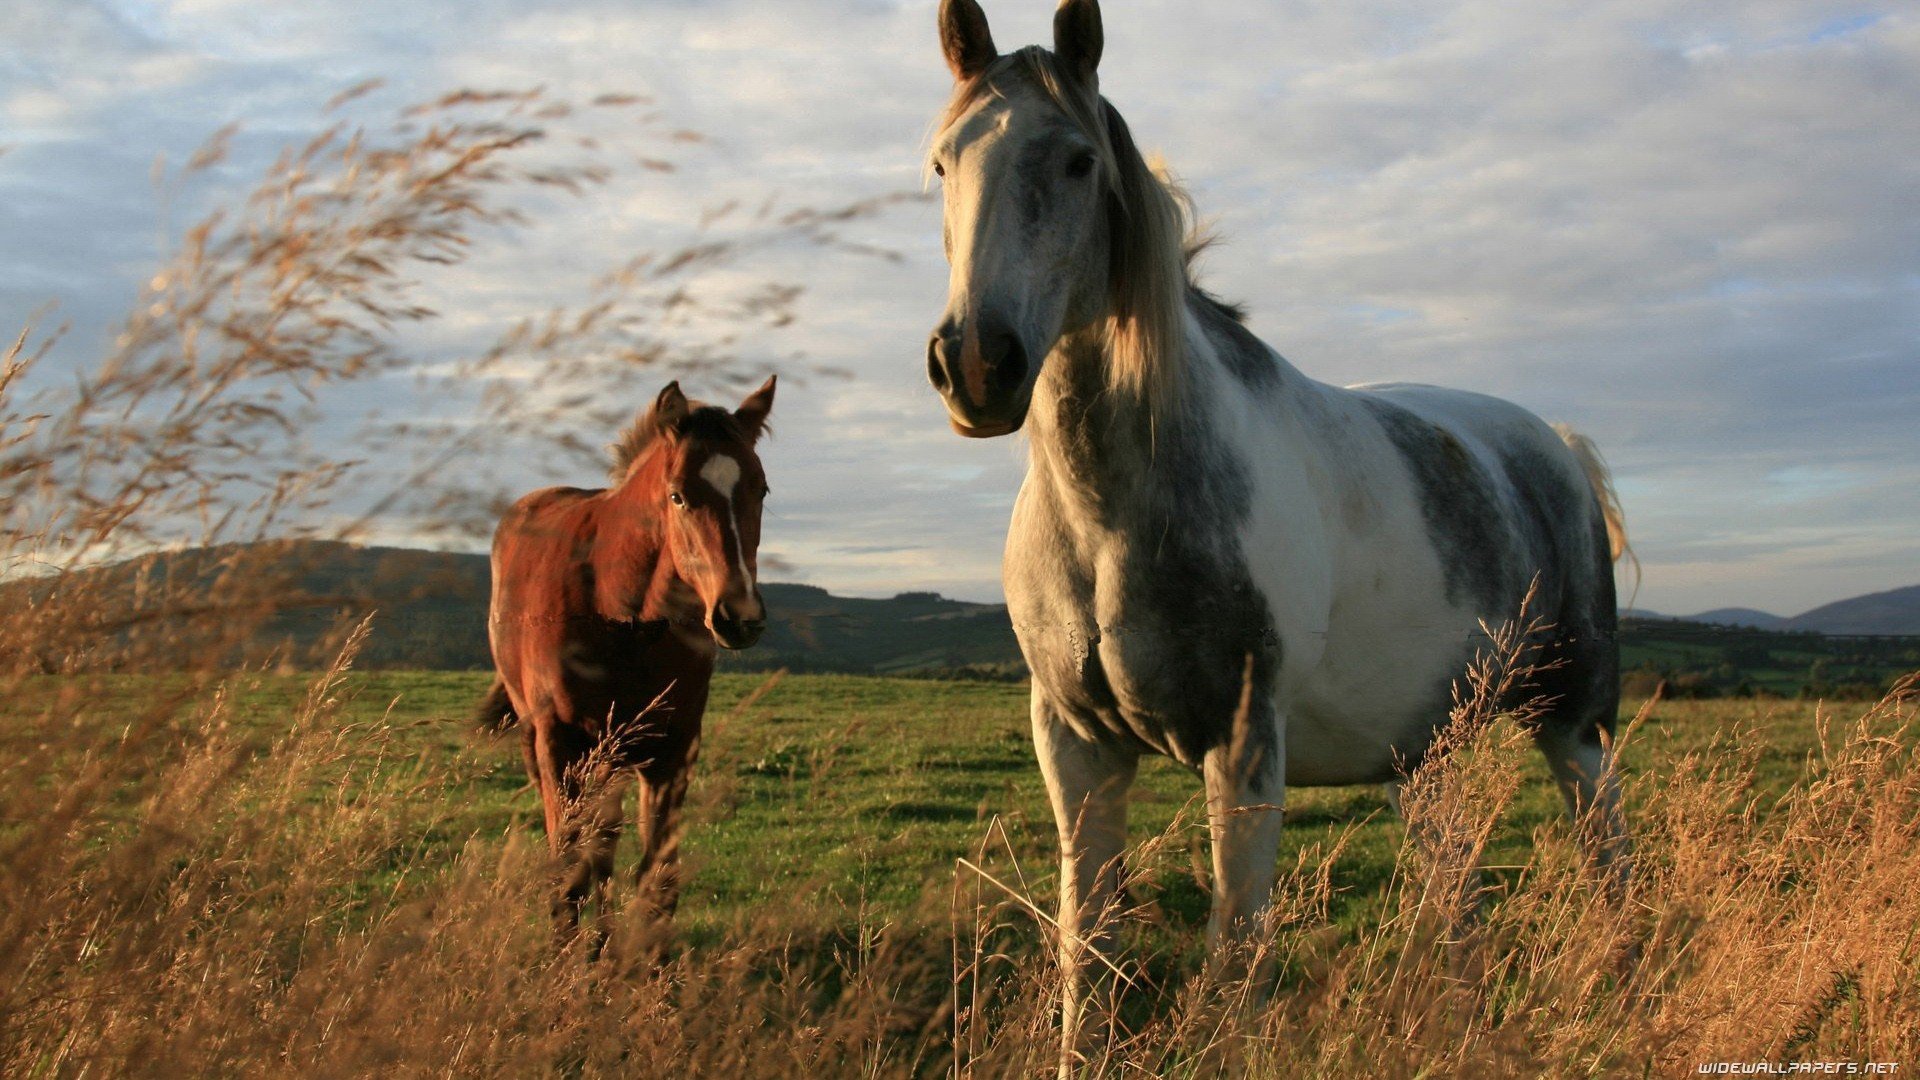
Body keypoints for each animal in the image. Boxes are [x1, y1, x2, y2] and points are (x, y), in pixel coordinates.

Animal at [476, 374, 775, 937]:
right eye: (677, 495)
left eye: (761, 489)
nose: (739, 615)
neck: (621, 614)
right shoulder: (560, 745)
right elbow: (568, 875)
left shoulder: (672, 749)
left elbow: (658, 880)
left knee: (606, 839)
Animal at [921, 0, 1628, 1060]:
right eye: (941, 163)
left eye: (1079, 161)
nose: (976, 364)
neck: (1111, 518)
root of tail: (1558, 448)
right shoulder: (1075, 747)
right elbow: (1089, 956)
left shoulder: (1245, 746)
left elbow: (1236, 964)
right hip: (1425, 758)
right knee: (1456, 895)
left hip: (1576, 727)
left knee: (1609, 867)